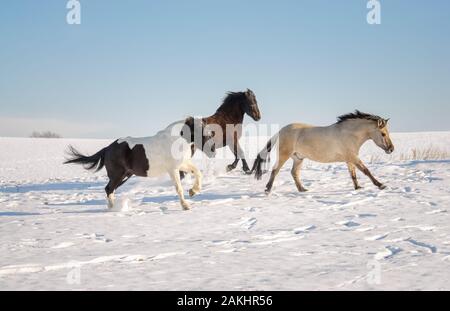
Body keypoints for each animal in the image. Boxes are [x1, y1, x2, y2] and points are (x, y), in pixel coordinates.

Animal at [63, 117, 216, 212]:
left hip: (125, 175)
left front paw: (193, 191)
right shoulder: (173, 169)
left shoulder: (181, 165)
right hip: (118, 175)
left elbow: (198, 172)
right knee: (109, 189)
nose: (213, 150)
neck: (176, 140)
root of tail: (108, 148)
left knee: (110, 189)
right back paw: (113, 209)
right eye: (204, 133)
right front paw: (185, 206)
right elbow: (178, 188)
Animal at [251, 111, 396, 195]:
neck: (349, 134)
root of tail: (281, 130)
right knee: (275, 170)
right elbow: (366, 171)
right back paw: (268, 189)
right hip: (284, 155)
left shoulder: (349, 159)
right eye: (383, 133)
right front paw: (381, 185)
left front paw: (358, 188)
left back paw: (302, 189)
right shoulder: (353, 157)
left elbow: (353, 174)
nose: (391, 149)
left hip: (298, 158)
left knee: (294, 173)